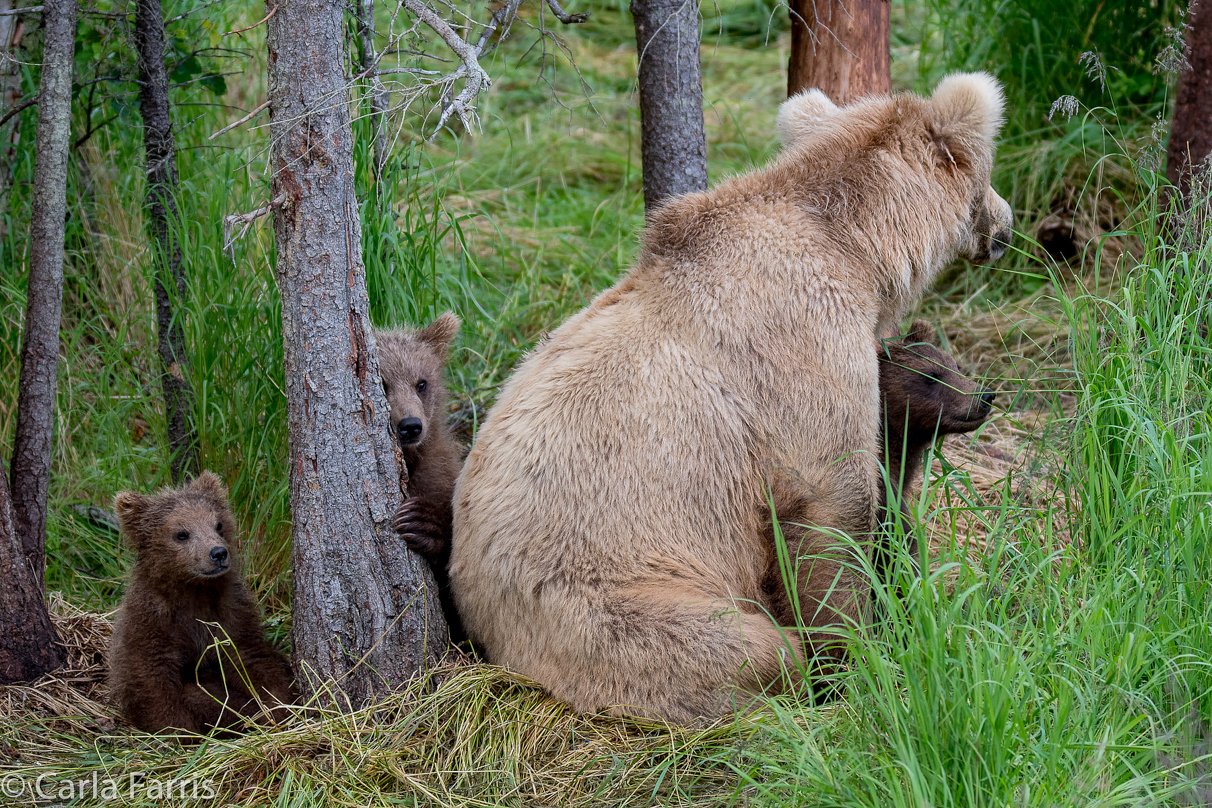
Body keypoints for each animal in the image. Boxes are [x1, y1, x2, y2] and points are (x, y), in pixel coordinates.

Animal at [450, 72, 1008, 721]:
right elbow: (833, 506)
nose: (1006, 224)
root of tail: (486, 635)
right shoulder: (803, 349)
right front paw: (852, 657)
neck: (856, 246)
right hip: (611, 607)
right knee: (746, 647)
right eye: (987, 171)